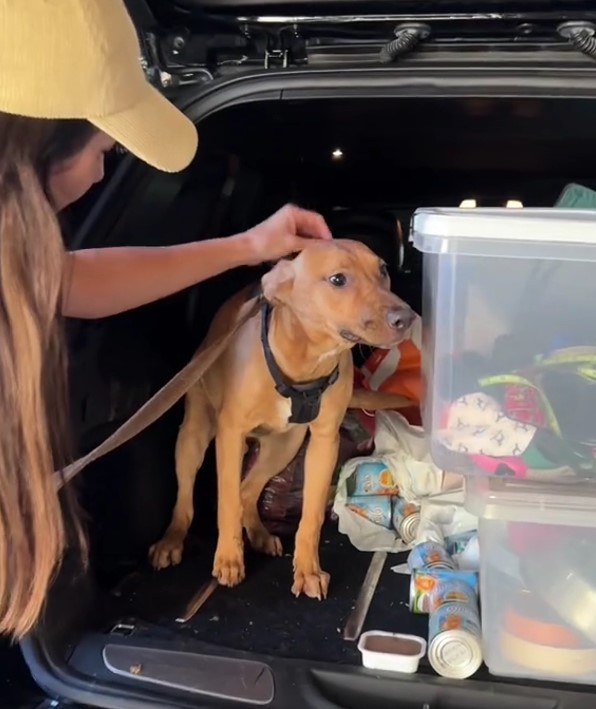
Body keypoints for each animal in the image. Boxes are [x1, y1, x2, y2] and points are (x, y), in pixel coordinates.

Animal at [149, 238, 414, 596]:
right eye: (338, 280)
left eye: (383, 270)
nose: (407, 318)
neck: (306, 361)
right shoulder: (230, 433)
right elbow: (226, 502)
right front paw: (228, 558)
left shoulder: (324, 442)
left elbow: (311, 515)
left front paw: (308, 569)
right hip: (196, 434)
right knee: (190, 496)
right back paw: (173, 540)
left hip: (284, 446)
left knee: (248, 490)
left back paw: (259, 533)